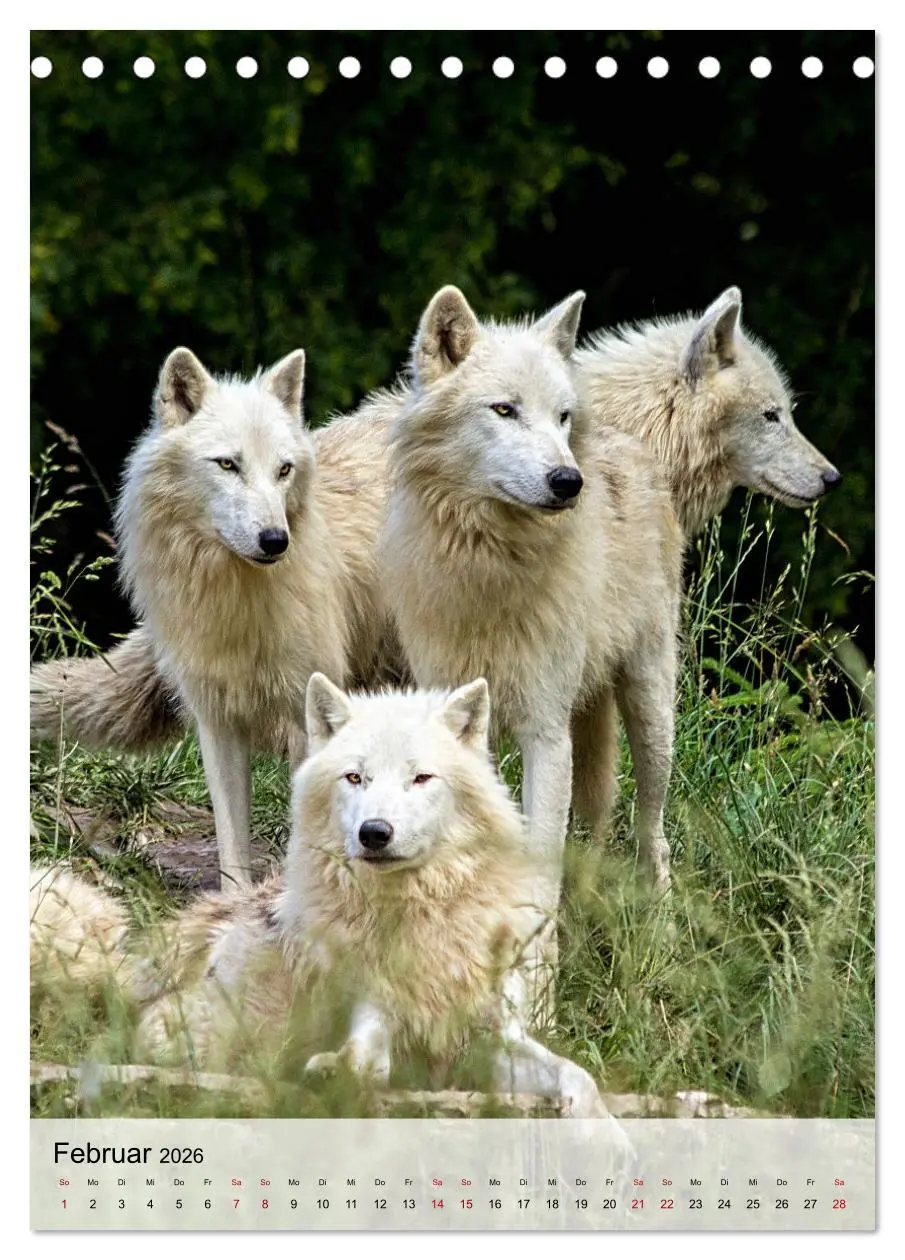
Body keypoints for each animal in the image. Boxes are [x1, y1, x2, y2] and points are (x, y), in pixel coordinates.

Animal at [30, 676, 610, 1118]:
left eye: (421, 778)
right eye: (355, 777)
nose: (375, 832)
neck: (420, 916)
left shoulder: (496, 1036)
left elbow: (578, 1076)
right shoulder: (376, 1012)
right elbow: (366, 1057)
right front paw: (338, 1072)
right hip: (194, 1033)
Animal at [380, 286, 684, 922]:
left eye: (561, 417)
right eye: (504, 410)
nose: (569, 481)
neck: (488, 566)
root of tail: (626, 443)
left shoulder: (545, 729)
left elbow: (542, 853)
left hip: (651, 713)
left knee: (651, 827)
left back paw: (660, 921)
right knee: (598, 821)